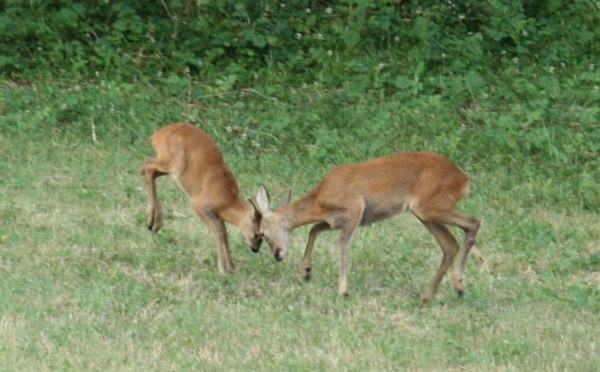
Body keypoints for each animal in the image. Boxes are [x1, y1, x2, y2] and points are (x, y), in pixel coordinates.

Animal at [142, 123, 264, 274]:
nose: (255, 249)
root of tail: (158, 134)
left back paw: (155, 223)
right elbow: (219, 232)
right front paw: (223, 269)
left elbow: (224, 233)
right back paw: (152, 221)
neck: (227, 202)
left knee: (148, 168)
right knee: (147, 166)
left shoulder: (216, 214)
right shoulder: (199, 204)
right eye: (257, 234)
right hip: (172, 163)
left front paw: (232, 267)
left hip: (169, 167)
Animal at [255, 150, 480, 306]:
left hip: (430, 206)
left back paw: (456, 285)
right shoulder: (334, 220)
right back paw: (431, 295)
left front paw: (343, 291)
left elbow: (342, 245)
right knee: (450, 244)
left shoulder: (355, 207)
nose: (277, 255)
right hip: (425, 213)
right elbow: (314, 229)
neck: (320, 199)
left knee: (474, 222)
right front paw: (306, 271)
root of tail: (464, 179)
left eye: (262, 234)